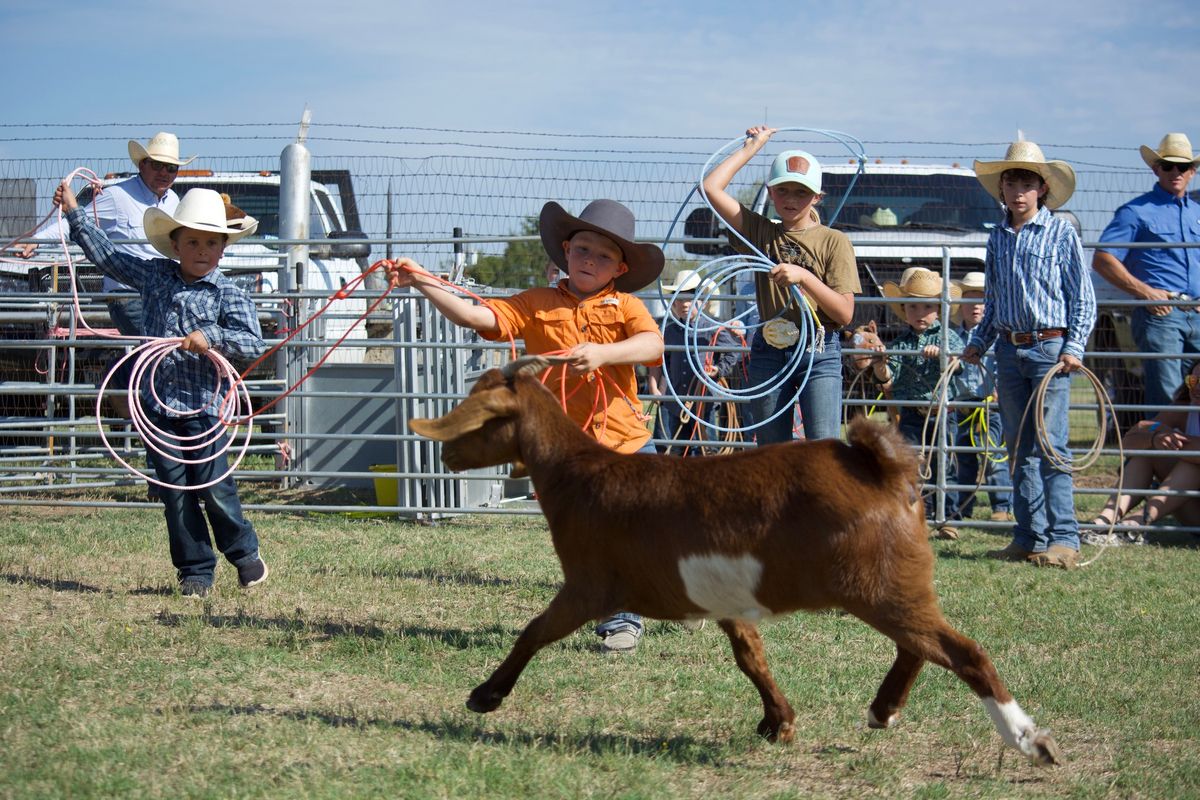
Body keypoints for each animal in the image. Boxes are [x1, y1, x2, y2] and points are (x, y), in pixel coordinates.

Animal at [410, 355, 1060, 762]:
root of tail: (886, 471)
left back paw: (1028, 741)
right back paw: (882, 711)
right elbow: (750, 657)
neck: (578, 472)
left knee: (962, 652)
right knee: (919, 647)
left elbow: (534, 631)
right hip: (892, 586)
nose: (445, 458)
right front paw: (779, 721)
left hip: (880, 586)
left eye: (479, 414)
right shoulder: (723, 600)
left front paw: (484, 697)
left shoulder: (589, 585)